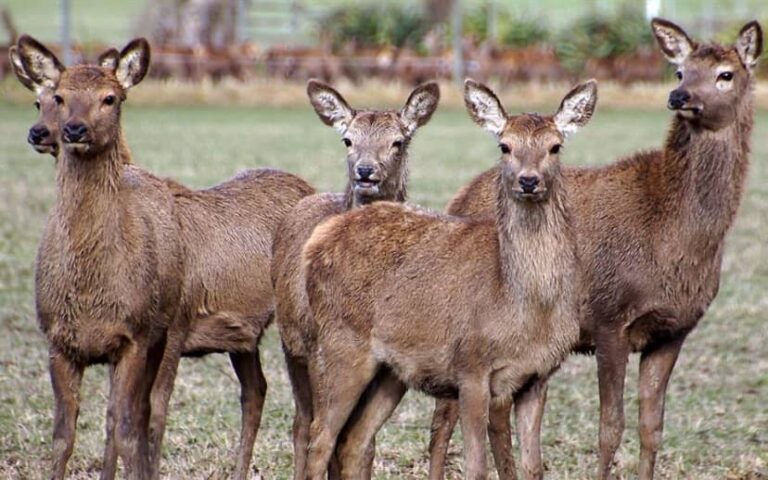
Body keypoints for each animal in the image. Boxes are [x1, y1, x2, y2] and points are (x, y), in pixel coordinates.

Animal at [14, 35, 314, 480]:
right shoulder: (62, 340)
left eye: (110, 98)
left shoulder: (167, 328)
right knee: (256, 391)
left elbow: (144, 417)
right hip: (243, 338)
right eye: (47, 99)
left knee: (304, 409)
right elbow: (76, 434)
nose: (57, 131)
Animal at [271, 79, 440, 480]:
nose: (365, 171)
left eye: (398, 141)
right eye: (347, 139)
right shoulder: (315, 346)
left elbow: (363, 444)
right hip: (294, 345)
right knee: (303, 425)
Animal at [297, 79, 597, 480]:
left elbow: (533, 467)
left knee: (354, 439)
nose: (528, 181)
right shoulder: (471, 367)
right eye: (504, 145)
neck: (523, 306)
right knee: (320, 439)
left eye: (555, 146)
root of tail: (318, 240)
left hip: (391, 370)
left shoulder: (537, 376)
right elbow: (477, 466)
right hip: (339, 344)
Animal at [426, 18, 763, 480]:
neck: (678, 237)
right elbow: (610, 427)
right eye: (680, 71)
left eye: (725, 74)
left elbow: (651, 426)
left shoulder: (674, 329)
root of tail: (458, 198)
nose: (679, 96)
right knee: (444, 417)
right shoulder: (610, 315)